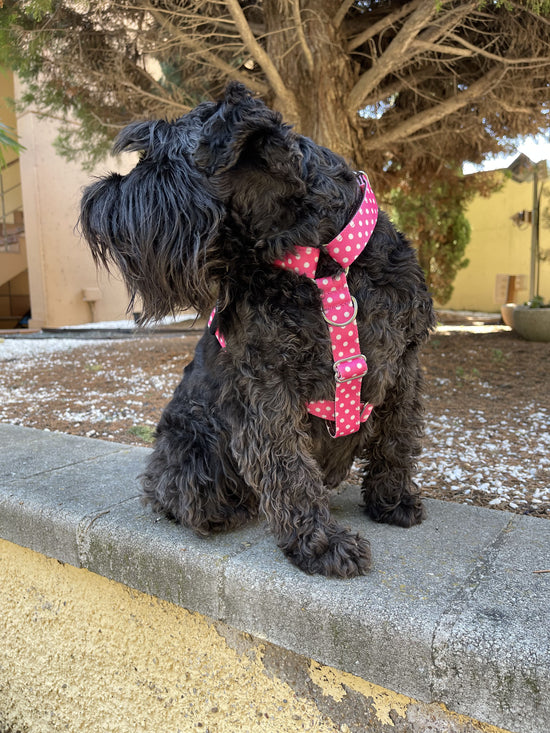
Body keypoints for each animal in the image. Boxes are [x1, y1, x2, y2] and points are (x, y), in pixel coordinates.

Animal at [81, 83, 436, 576]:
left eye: (159, 161)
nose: (92, 203)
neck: (323, 263)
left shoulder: (407, 361)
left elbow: (398, 438)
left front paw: (392, 500)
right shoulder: (266, 384)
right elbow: (288, 469)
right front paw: (320, 543)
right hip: (195, 438)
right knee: (173, 491)